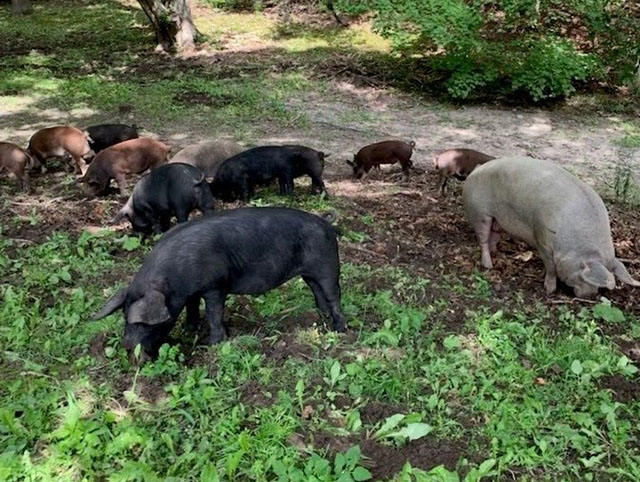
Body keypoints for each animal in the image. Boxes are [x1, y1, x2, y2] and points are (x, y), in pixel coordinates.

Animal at [91, 207, 347, 355]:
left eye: (141, 323)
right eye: (125, 315)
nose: (126, 347)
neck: (173, 280)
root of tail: (326, 223)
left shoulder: (215, 286)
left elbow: (214, 313)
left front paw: (213, 344)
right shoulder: (191, 293)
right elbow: (192, 309)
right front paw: (190, 330)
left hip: (328, 266)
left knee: (334, 295)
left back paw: (340, 330)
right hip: (309, 274)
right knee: (318, 293)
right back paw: (321, 322)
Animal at [462, 157, 640, 298]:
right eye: (582, 275)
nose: (589, 296)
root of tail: (476, 170)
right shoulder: (542, 238)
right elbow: (551, 267)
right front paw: (549, 290)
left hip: (496, 220)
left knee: (494, 234)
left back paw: (497, 254)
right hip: (479, 213)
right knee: (483, 239)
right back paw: (488, 265)